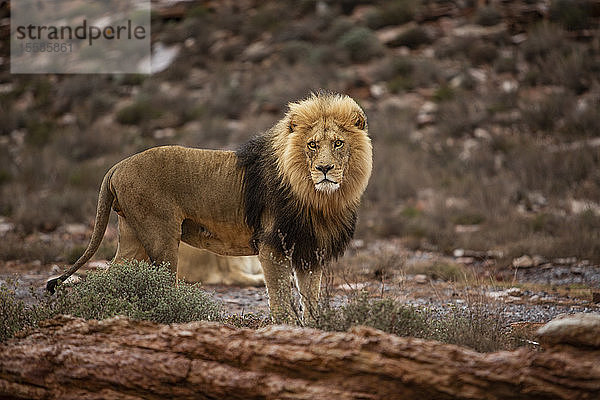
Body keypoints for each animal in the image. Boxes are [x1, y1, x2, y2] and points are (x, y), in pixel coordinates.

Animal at [47, 91, 372, 322]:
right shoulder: (272, 247)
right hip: (161, 238)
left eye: (338, 143)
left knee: (112, 275)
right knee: (160, 283)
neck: (319, 197)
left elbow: (311, 300)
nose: (325, 169)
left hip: (132, 238)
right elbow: (281, 301)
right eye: (313, 145)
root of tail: (118, 166)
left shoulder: (309, 251)